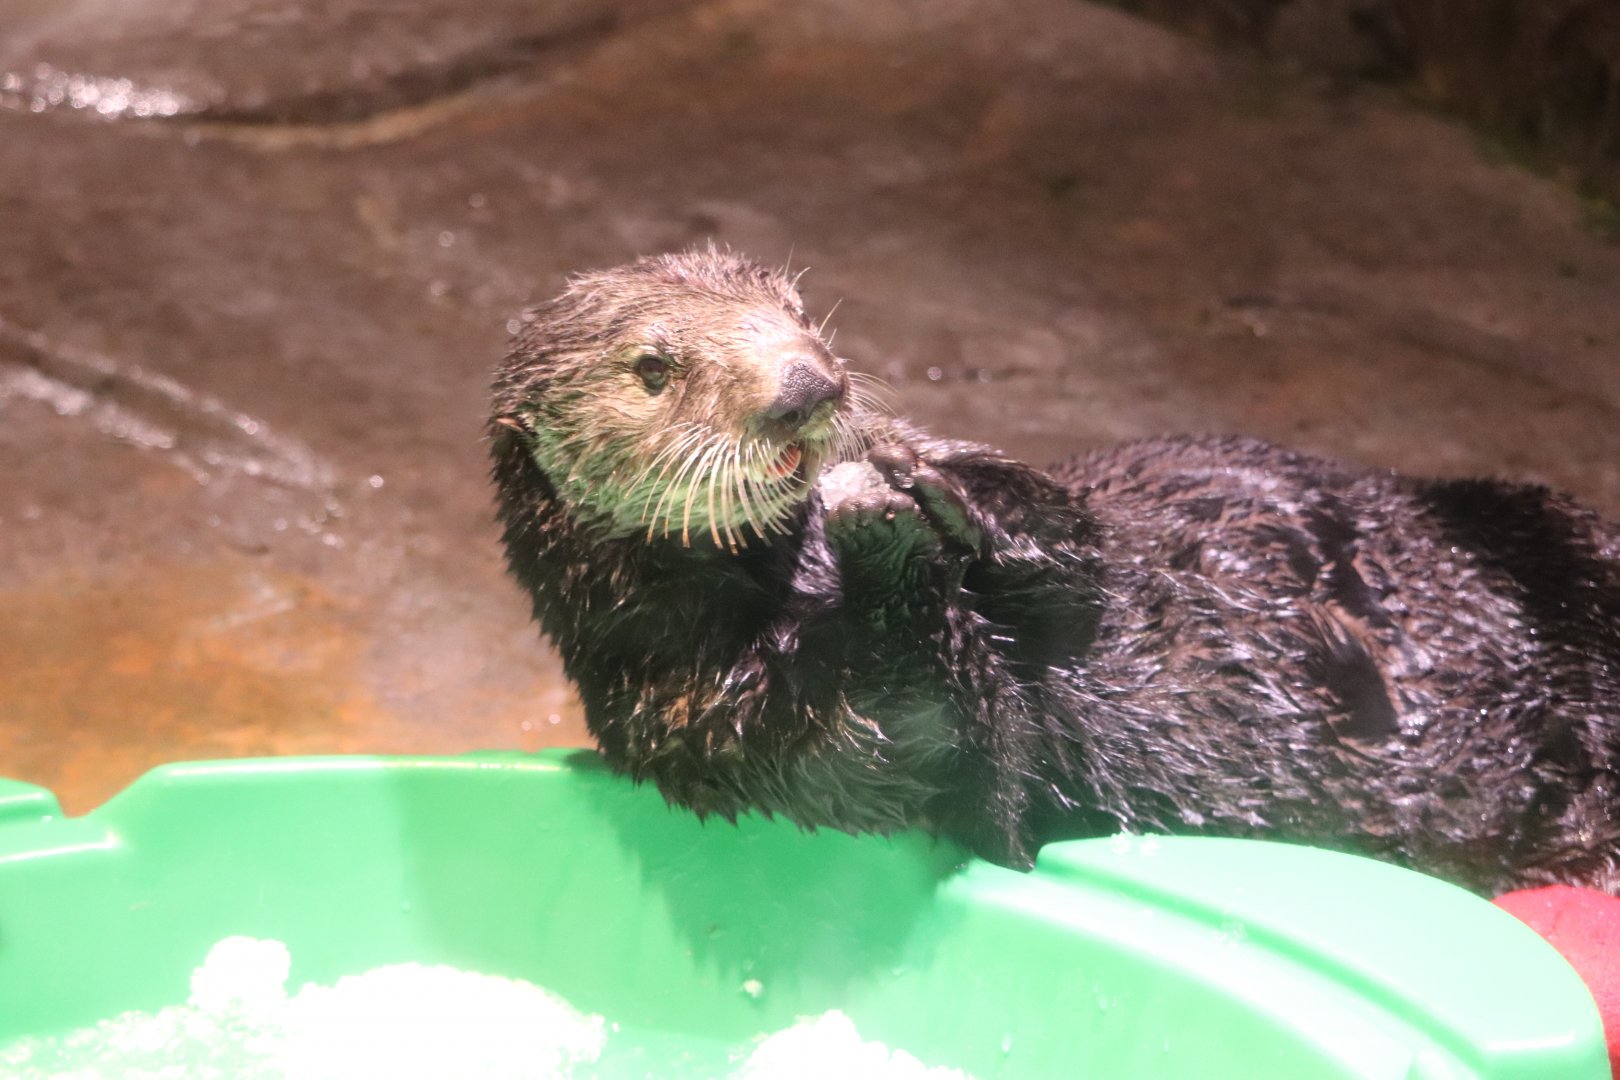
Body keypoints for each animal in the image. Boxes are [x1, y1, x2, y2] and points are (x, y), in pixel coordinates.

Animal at [489, 247, 1620, 896]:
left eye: (793, 309)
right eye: (653, 369)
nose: (809, 386)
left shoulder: (1084, 541)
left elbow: (1078, 542)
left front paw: (930, 474)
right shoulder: (715, 722)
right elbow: (948, 756)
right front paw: (881, 521)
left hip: (1542, 524)